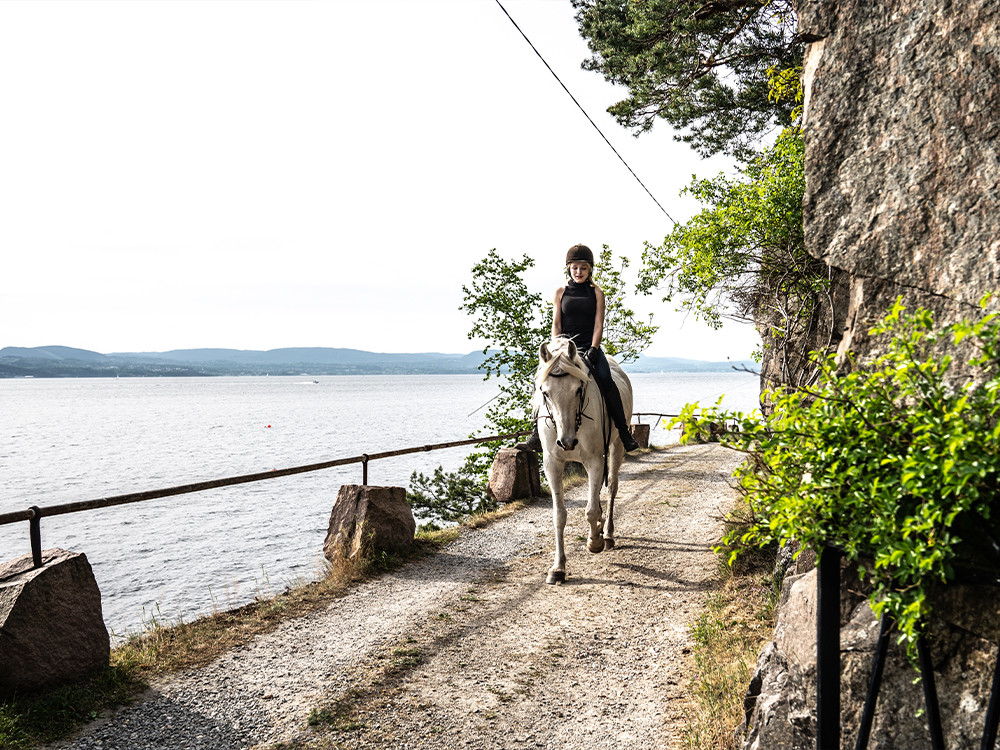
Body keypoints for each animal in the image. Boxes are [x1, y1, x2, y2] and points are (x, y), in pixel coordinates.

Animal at [532, 336, 632, 588]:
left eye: (578, 389)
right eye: (545, 392)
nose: (566, 442)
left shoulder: (595, 460)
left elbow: (590, 510)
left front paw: (594, 542)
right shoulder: (552, 464)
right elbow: (560, 515)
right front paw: (558, 568)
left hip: (616, 446)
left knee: (612, 488)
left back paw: (607, 534)